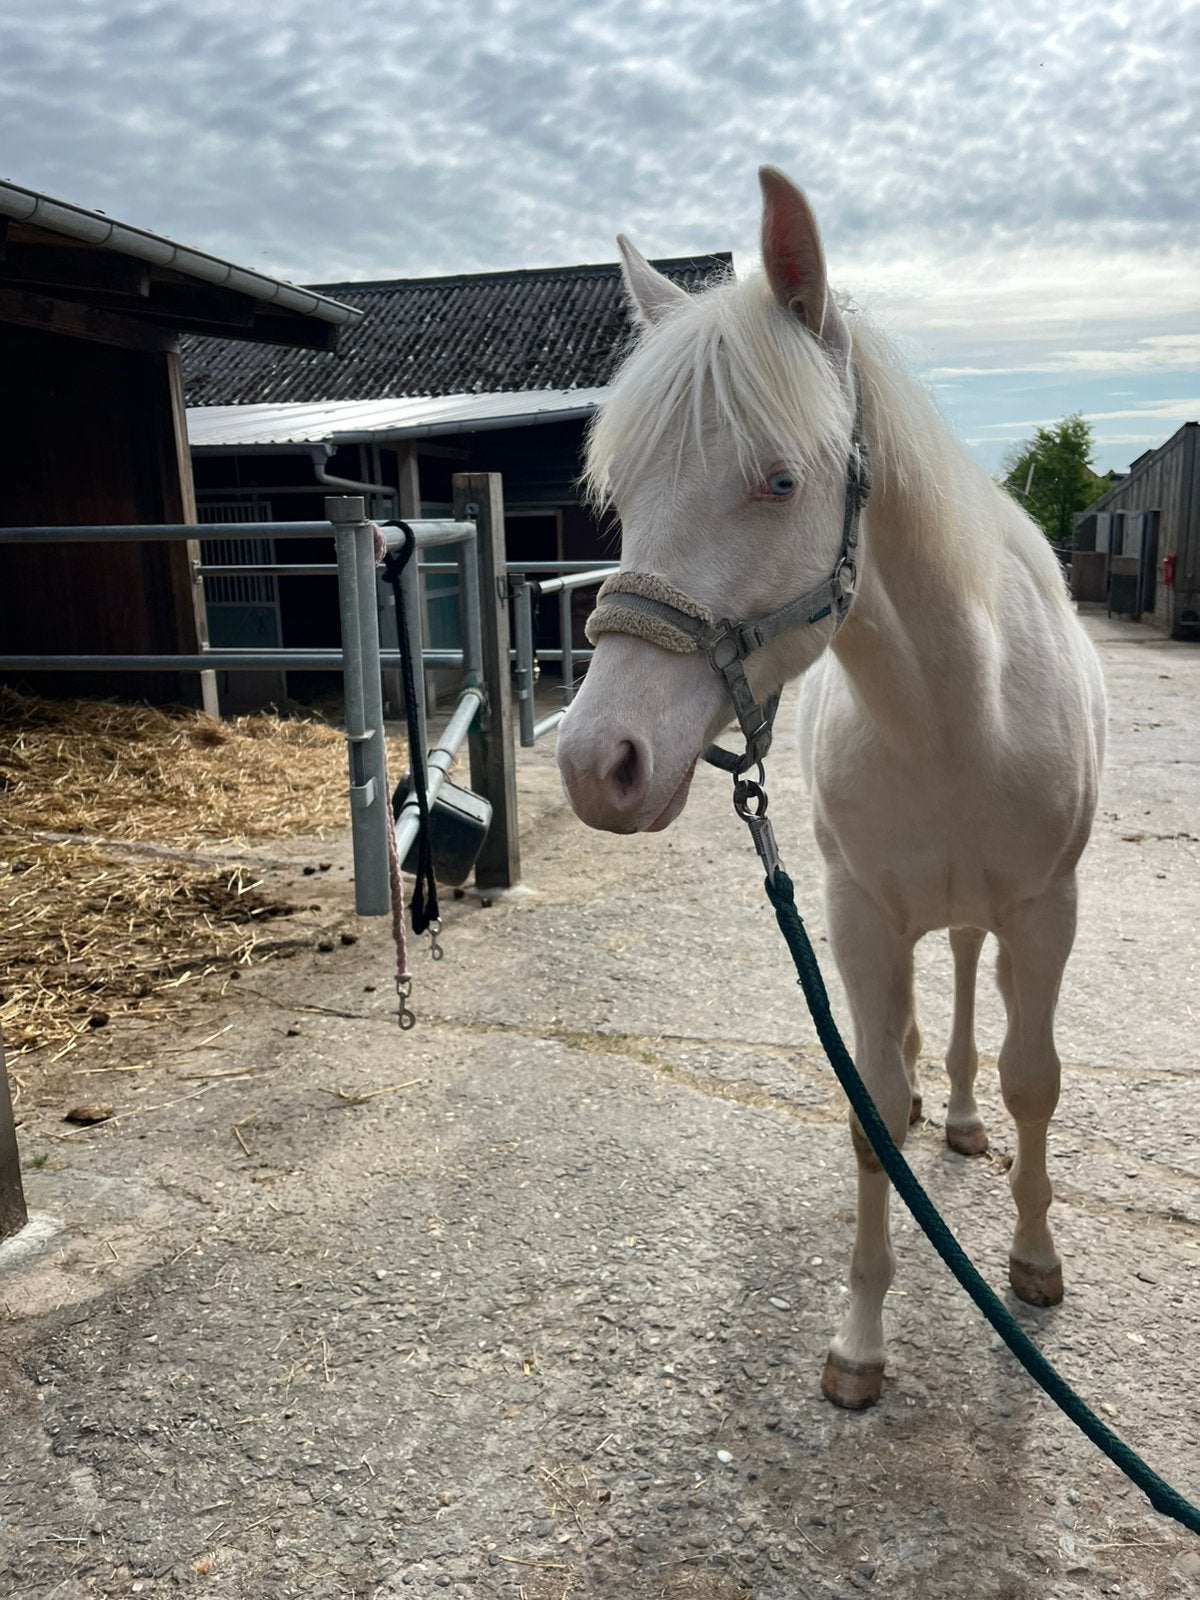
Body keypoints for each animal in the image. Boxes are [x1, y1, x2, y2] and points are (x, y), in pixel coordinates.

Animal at [556, 167, 1106, 1409]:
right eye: (624, 493)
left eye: (779, 479)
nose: (596, 762)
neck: (955, 711)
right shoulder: (856, 916)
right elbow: (872, 1116)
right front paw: (859, 1341)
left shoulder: (1047, 911)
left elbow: (1035, 1082)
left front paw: (1035, 1259)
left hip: (996, 919)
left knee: (975, 994)